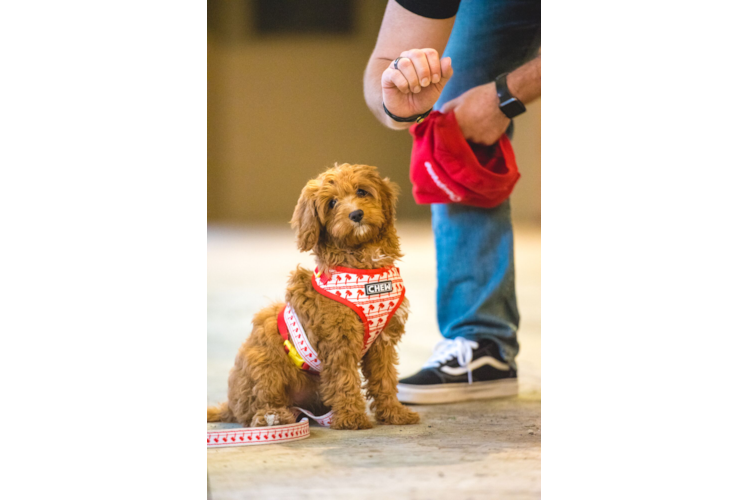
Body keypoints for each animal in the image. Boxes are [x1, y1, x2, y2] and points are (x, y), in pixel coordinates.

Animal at [207, 164, 420, 430]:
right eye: (332, 203)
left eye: (362, 191)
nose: (356, 214)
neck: (363, 263)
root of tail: (230, 405)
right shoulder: (339, 341)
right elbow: (344, 379)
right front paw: (352, 417)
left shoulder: (382, 341)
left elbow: (385, 378)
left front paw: (394, 413)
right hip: (263, 362)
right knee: (257, 406)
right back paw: (272, 416)